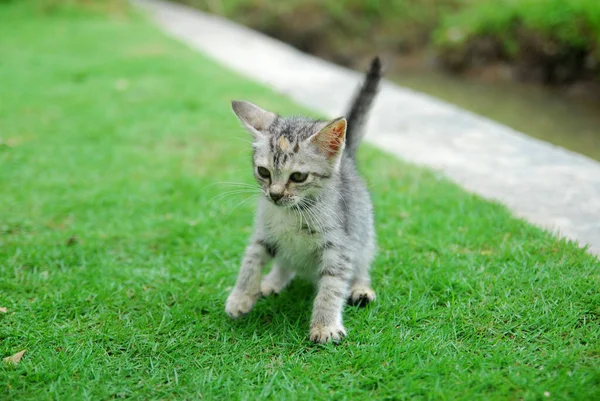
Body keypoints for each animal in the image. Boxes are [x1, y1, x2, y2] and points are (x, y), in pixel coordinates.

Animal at [225, 57, 384, 342]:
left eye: (298, 176)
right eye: (263, 172)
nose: (275, 194)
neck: (293, 212)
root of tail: (348, 159)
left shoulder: (339, 244)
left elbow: (332, 284)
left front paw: (324, 325)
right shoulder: (264, 233)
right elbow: (251, 261)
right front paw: (241, 296)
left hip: (363, 233)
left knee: (362, 263)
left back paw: (361, 288)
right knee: (285, 262)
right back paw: (272, 282)